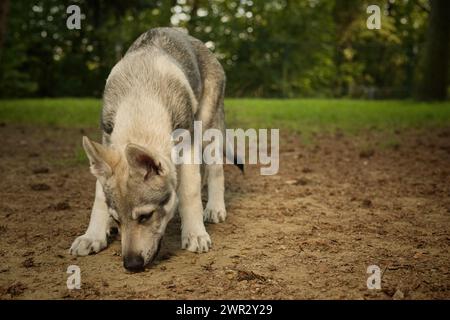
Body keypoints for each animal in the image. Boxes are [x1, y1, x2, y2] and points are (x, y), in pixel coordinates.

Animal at [69, 28, 229, 272]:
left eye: (146, 216)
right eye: (118, 218)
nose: (131, 264)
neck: (140, 100)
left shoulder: (188, 144)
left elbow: (190, 192)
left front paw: (195, 233)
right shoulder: (107, 140)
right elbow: (99, 199)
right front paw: (93, 236)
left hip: (209, 130)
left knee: (214, 171)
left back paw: (214, 209)